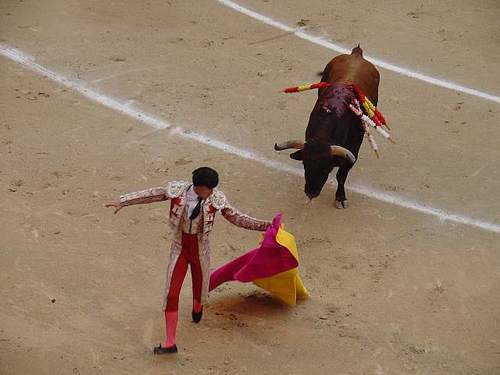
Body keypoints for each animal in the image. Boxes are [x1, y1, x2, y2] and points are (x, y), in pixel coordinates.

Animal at [274, 46, 378, 210]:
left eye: (326, 168)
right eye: (305, 165)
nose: (311, 192)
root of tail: (356, 54)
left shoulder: (352, 153)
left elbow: (341, 176)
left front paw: (340, 198)